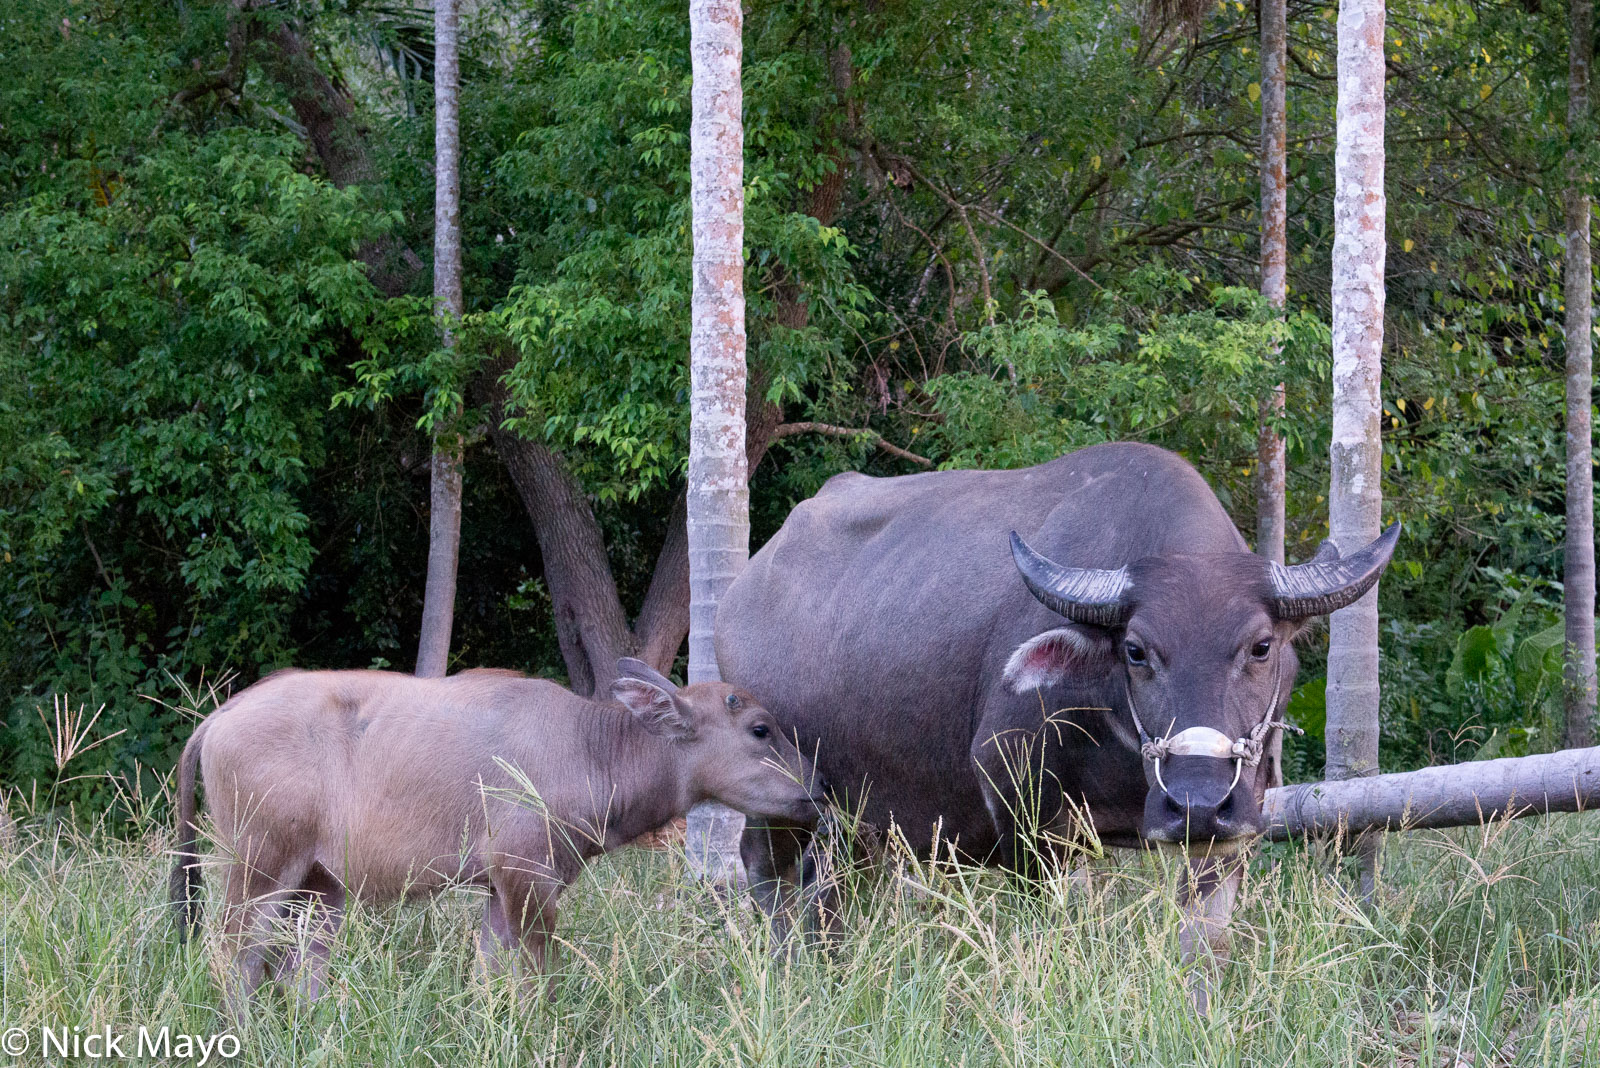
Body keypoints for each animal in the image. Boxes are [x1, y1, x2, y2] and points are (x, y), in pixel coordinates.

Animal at [172, 655, 825, 1016]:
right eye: (760, 728)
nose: (817, 788)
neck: (589, 747)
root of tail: (220, 717)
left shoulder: (495, 888)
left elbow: (487, 974)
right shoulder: (527, 877)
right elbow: (539, 976)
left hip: (320, 885)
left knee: (296, 965)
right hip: (260, 867)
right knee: (233, 954)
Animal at [720, 441, 1395, 984]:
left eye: (1260, 646)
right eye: (1136, 650)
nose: (1197, 801)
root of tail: (743, 589)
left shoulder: (1232, 830)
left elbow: (1206, 941)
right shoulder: (1026, 817)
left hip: (854, 814)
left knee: (829, 883)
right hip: (777, 796)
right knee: (767, 869)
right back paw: (787, 966)